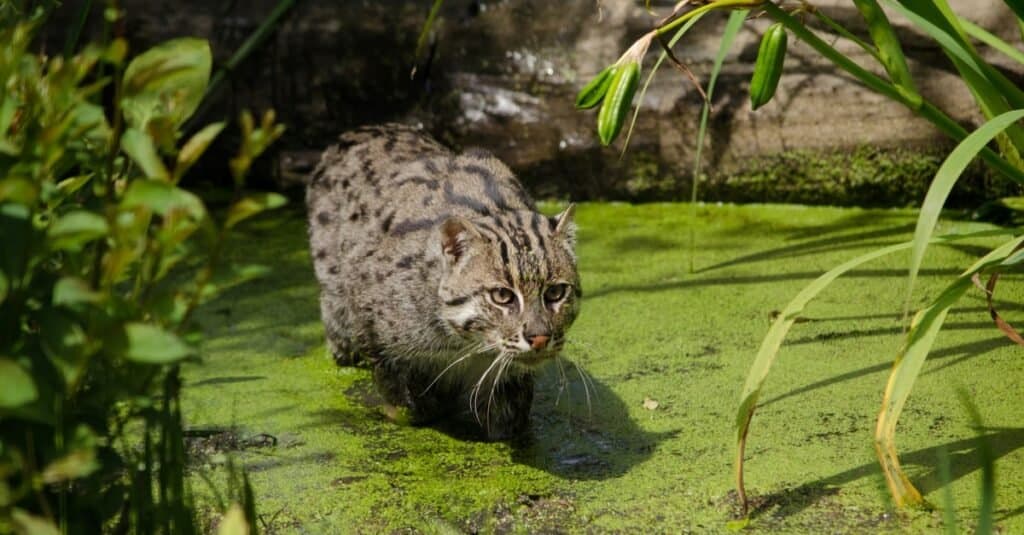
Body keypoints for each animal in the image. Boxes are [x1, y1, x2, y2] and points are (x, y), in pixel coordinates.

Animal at [303, 125, 581, 436]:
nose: (539, 338)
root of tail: (358, 131)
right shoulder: (372, 331)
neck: (466, 345)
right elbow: (401, 399)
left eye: (556, 292)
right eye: (501, 295)